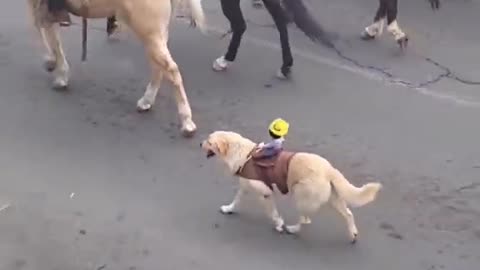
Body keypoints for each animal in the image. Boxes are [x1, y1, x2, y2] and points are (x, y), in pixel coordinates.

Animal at [26, 0, 206, 135]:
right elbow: (48, 34)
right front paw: (54, 65)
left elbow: (45, 33)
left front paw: (54, 66)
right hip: (156, 35)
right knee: (159, 68)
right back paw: (147, 101)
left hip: (149, 32)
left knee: (171, 70)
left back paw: (187, 121)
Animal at [202, 131, 382, 243]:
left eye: (209, 142)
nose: (199, 143)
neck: (244, 154)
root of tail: (329, 168)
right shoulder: (245, 187)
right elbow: (236, 200)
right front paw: (228, 209)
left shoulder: (265, 193)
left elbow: (272, 213)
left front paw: (279, 224)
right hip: (333, 199)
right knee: (348, 214)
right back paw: (353, 234)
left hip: (301, 196)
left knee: (304, 219)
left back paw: (293, 229)